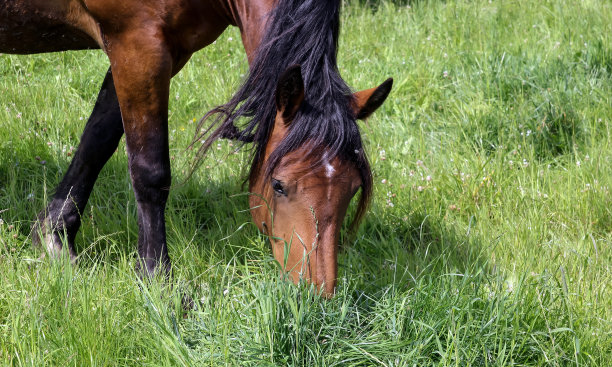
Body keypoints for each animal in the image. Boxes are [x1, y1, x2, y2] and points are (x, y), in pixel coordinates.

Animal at [0, 0, 392, 296]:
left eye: (352, 189)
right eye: (279, 185)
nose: (317, 294)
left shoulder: (159, 51)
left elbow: (97, 140)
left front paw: (54, 236)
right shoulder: (138, 45)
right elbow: (150, 172)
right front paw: (158, 282)